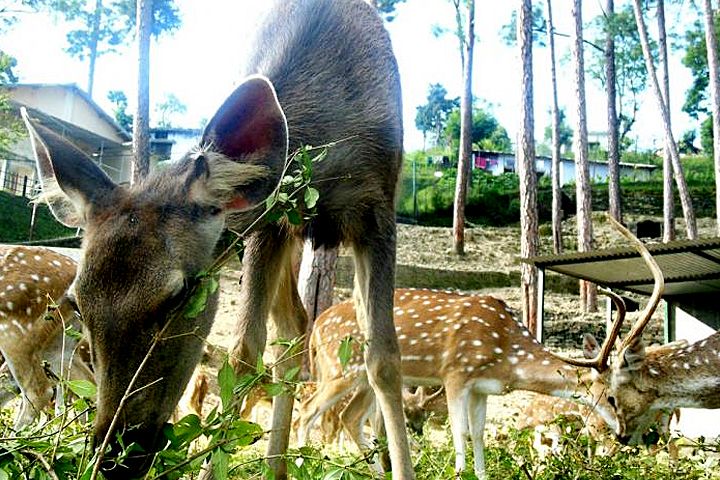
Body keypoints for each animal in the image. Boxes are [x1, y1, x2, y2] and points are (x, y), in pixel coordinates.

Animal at [22, 1, 411, 478]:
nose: (115, 456)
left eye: (179, 294)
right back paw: (276, 467)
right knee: (293, 326)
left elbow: (385, 359)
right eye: (77, 302)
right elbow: (244, 350)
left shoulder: (379, 209)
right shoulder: (268, 223)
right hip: (283, 233)